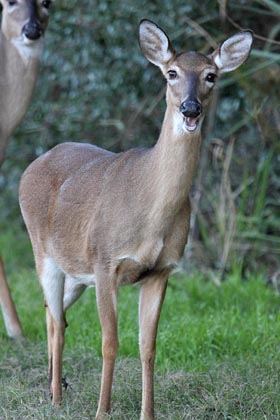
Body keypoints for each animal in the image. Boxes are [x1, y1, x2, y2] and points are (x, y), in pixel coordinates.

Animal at [18, 18, 253, 420]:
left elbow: (148, 347)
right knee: (56, 319)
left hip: (75, 272)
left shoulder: (161, 270)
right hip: (42, 251)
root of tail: (34, 163)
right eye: (171, 73)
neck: (150, 215)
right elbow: (110, 342)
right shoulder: (105, 261)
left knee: (54, 312)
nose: (190, 108)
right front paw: (102, 411)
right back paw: (57, 398)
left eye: (211, 75)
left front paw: (148, 413)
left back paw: (55, 385)